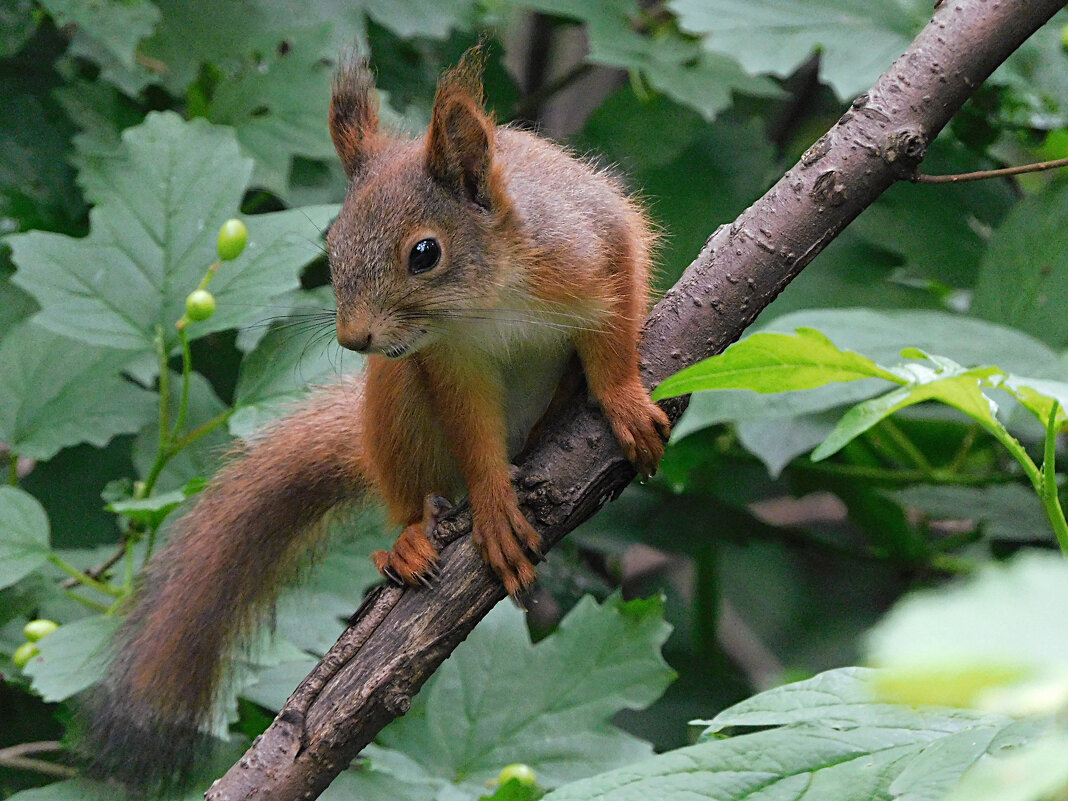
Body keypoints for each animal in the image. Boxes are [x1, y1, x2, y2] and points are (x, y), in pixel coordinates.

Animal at [83, 51, 670, 789]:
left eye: (425, 253)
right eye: (331, 242)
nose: (354, 337)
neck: (492, 294)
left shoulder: (597, 247)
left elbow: (616, 323)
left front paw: (622, 400)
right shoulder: (449, 362)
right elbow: (473, 432)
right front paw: (493, 503)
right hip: (396, 398)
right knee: (415, 485)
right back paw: (412, 538)